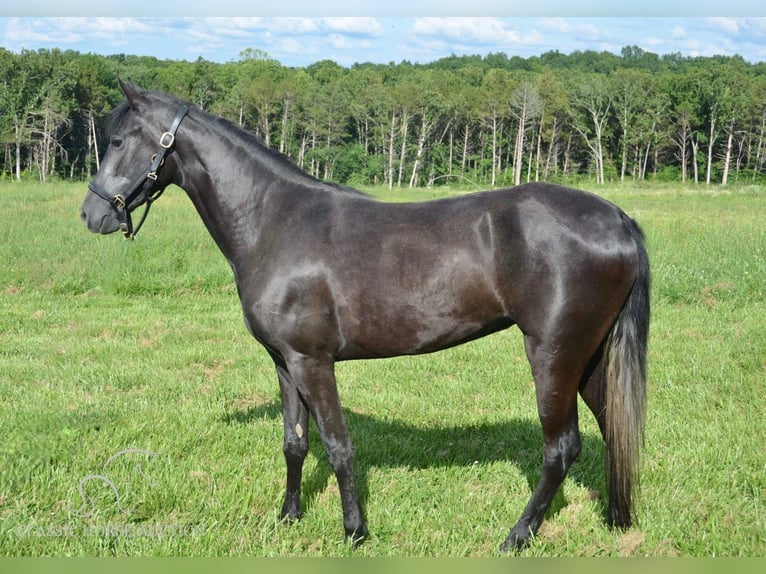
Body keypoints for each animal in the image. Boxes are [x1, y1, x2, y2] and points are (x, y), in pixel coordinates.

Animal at [82, 81, 648, 552]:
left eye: (119, 140)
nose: (92, 214)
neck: (274, 221)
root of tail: (616, 218)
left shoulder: (313, 362)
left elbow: (338, 446)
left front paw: (354, 531)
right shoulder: (284, 362)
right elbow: (294, 442)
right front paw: (288, 517)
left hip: (554, 354)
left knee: (561, 449)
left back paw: (516, 537)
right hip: (589, 359)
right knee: (611, 431)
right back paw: (616, 520)